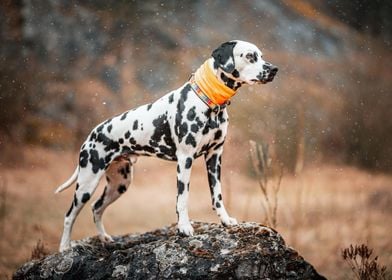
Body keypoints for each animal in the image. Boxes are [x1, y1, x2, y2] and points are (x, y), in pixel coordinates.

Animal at [55, 39, 278, 252]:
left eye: (261, 55)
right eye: (249, 56)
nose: (274, 69)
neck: (209, 101)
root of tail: (92, 134)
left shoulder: (215, 156)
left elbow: (217, 195)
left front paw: (225, 220)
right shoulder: (185, 159)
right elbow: (182, 199)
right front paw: (184, 228)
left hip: (119, 184)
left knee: (96, 208)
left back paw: (104, 238)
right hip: (87, 182)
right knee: (69, 215)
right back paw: (65, 247)